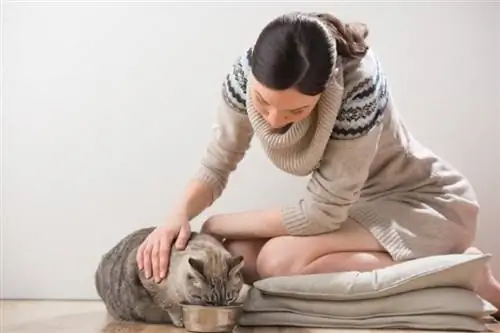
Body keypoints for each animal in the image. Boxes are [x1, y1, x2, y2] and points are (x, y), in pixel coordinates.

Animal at [94, 227, 245, 326]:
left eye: (229, 299)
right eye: (208, 302)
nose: (221, 308)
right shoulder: (150, 280)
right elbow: (169, 304)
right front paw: (180, 321)